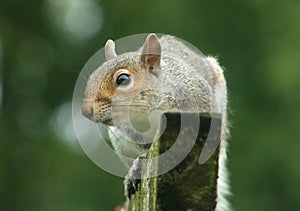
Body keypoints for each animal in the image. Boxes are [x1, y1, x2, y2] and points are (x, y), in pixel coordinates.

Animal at [79, 33, 230, 210]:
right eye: (92, 78)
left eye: (122, 79)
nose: (86, 110)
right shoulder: (129, 132)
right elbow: (145, 148)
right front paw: (137, 167)